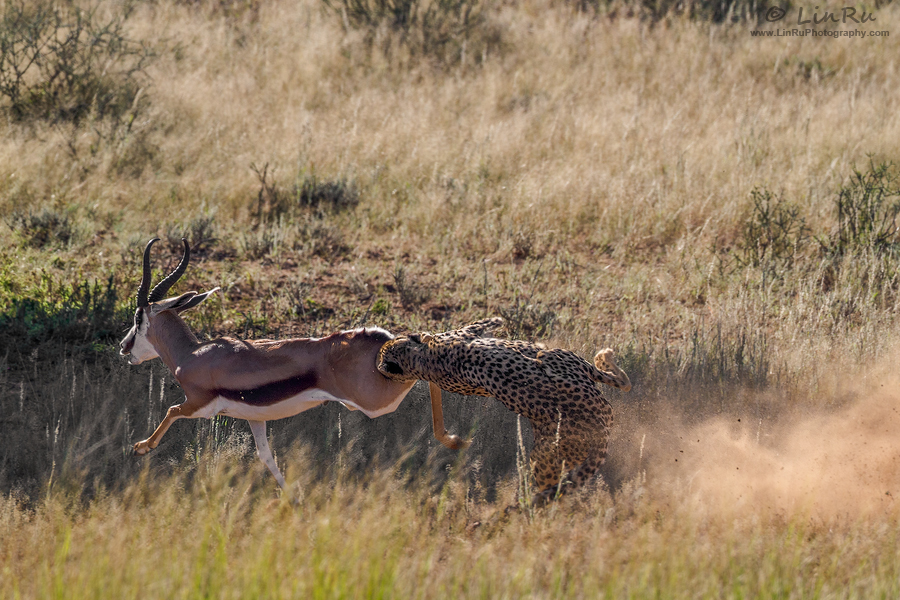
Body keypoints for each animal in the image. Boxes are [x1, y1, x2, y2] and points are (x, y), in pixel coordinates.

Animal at [376, 316, 628, 504]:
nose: (378, 365)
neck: (421, 361)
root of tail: (600, 434)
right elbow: (483, 323)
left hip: (547, 459)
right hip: (563, 365)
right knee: (622, 381)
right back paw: (604, 355)